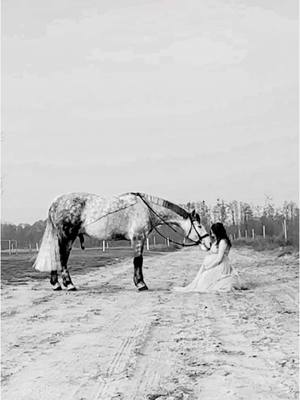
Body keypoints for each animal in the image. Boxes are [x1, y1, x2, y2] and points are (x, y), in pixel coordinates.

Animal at [32, 191, 211, 290]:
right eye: (199, 226)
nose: (209, 243)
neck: (146, 209)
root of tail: (56, 203)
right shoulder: (138, 238)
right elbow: (138, 261)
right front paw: (141, 284)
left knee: (56, 256)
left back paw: (56, 284)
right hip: (67, 236)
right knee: (62, 258)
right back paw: (69, 285)